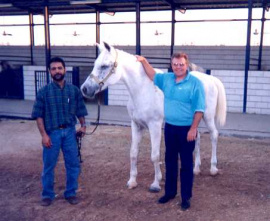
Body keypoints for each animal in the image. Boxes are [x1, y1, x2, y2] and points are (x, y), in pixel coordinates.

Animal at [81, 42, 227, 192]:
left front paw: (156, 183)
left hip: (208, 117)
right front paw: (132, 181)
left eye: (104, 66)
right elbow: (133, 153)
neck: (143, 90)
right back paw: (196, 169)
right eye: (95, 64)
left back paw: (213, 168)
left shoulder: (154, 126)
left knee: (214, 135)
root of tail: (210, 79)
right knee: (196, 137)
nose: (84, 89)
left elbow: (155, 156)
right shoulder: (136, 125)